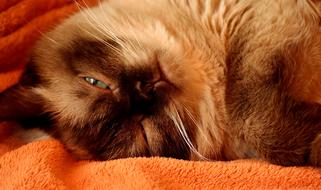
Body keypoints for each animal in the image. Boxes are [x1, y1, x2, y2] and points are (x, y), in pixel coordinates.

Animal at [0, 0, 320, 166]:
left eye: (96, 82)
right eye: (142, 131)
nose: (145, 91)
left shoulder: (261, 18)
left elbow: (249, 113)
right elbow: (258, 128)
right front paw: (313, 145)